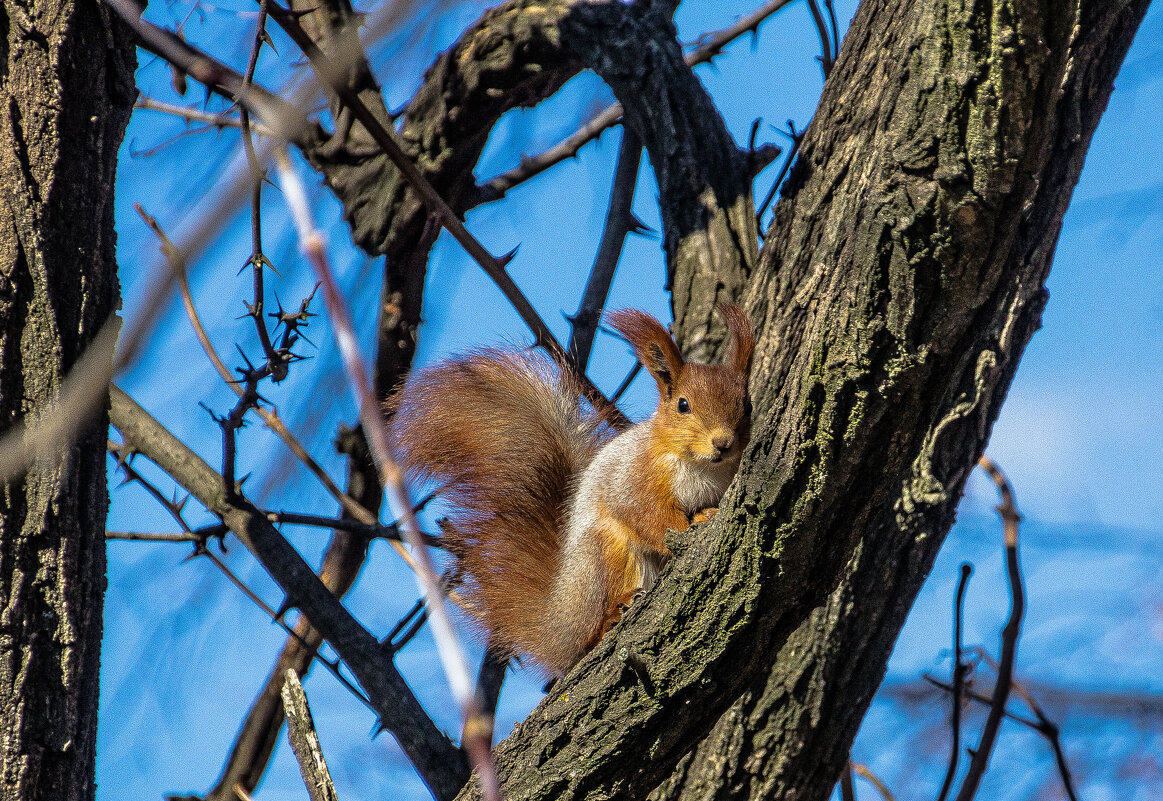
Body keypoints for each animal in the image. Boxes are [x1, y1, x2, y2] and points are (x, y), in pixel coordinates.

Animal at [388, 306, 753, 674]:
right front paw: (688, 525)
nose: (723, 442)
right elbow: (644, 515)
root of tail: (557, 624)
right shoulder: (634, 477)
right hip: (603, 556)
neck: (702, 465)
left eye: (747, 405)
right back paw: (611, 617)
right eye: (682, 405)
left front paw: (706, 512)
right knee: (589, 632)